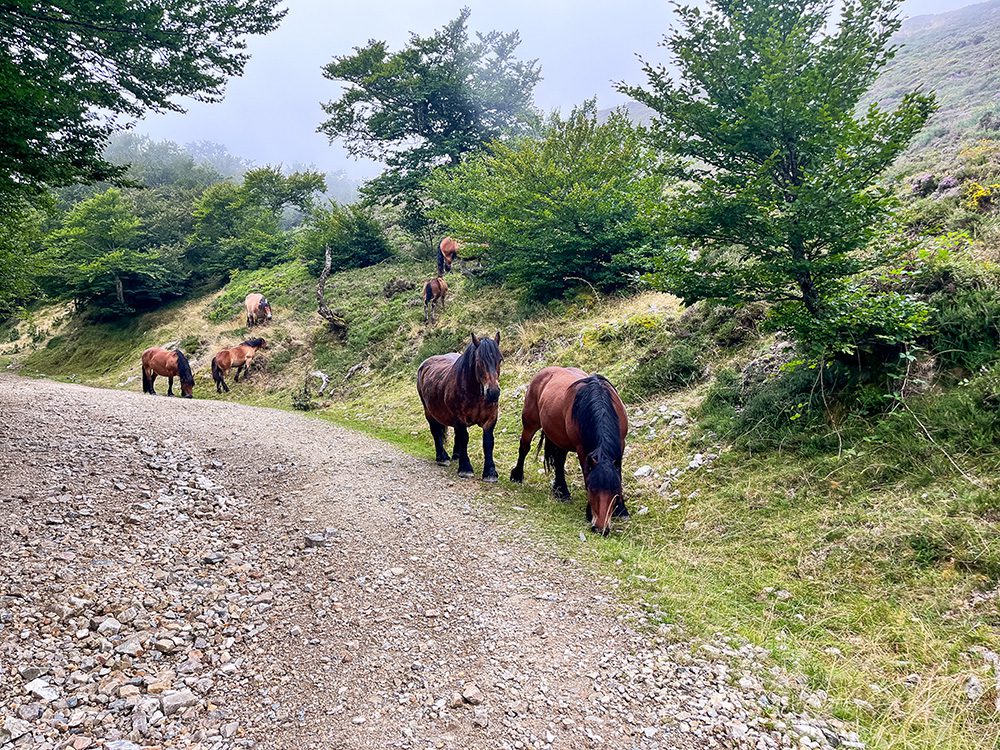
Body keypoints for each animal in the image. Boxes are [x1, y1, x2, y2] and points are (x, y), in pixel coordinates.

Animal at [417, 332, 502, 482]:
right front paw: (465, 468)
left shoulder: (491, 418)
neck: (476, 394)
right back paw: (442, 457)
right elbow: (464, 438)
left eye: (500, 360)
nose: (493, 392)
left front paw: (490, 472)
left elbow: (488, 442)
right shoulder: (460, 418)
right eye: (479, 361)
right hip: (429, 412)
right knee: (436, 432)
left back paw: (456, 455)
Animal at [509, 367, 629, 535]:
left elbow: (618, 474)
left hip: (559, 437)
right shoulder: (582, 450)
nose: (601, 528)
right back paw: (518, 476)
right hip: (530, 423)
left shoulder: (621, 445)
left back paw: (561, 491)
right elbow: (586, 475)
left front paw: (622, 510)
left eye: (615, 491)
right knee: (524, 448)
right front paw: (589, 512)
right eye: (591, 489)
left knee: (559, 462)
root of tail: (544, 372)